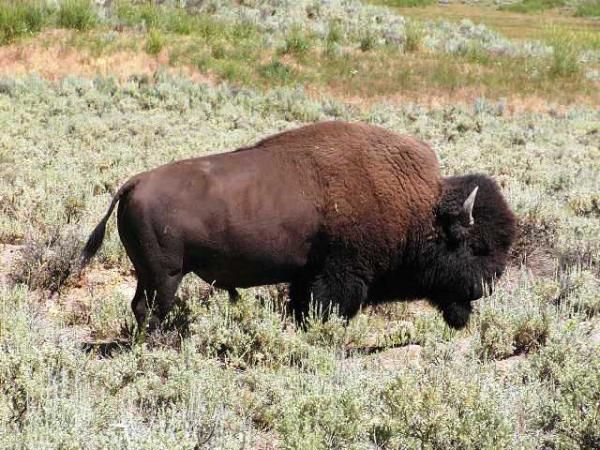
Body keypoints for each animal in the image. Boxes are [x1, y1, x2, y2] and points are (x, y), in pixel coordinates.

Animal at [82, 119, 516, 330]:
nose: (487, 287)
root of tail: (135, 182)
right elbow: (327, 310)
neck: (421, 209)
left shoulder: (307, 277)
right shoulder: (339, 278)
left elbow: (301, 308)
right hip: (165, 276)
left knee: (139, 307)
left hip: (148, 274)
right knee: (152, 309)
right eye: (477, 247)